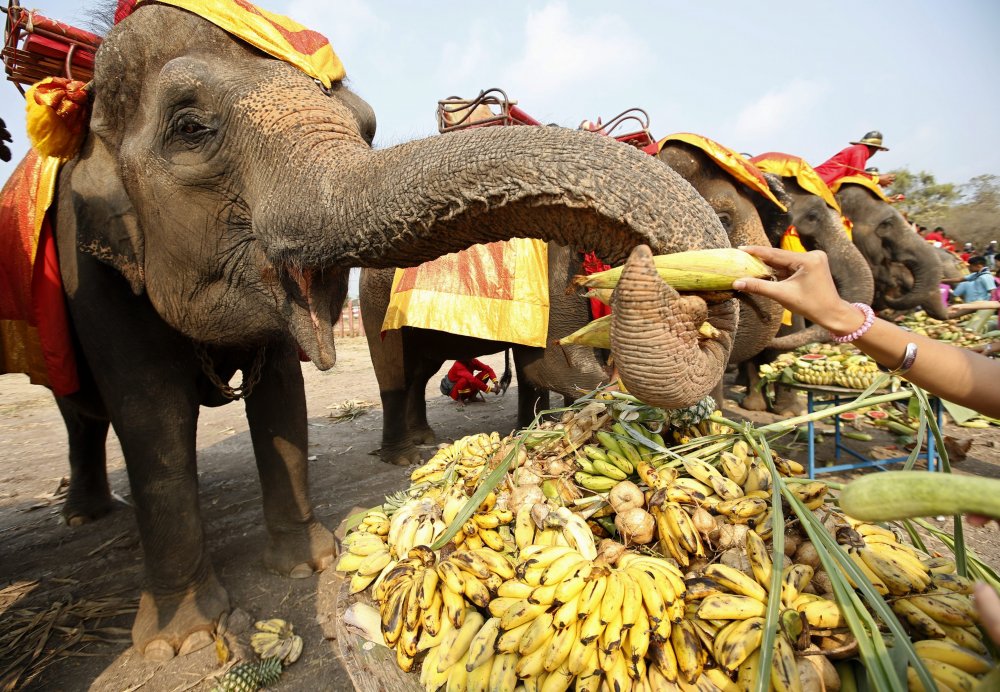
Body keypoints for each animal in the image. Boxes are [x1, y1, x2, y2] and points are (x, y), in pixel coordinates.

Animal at [14, 3, 742, 659]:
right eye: (189, 128)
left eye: (367, 125)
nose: (695, 307)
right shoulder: (88, 259)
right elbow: (152, 414)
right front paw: (184, 641)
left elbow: (282, 393)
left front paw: (309, 563)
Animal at [360, 133, 789, 467]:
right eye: (725, 219)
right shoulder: (556, 270)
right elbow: (554, 365)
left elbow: (539, 369)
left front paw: (533, 427)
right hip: (375, 302)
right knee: (393, 368)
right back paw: (404, 457)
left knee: (419, 371)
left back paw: (423, 438)